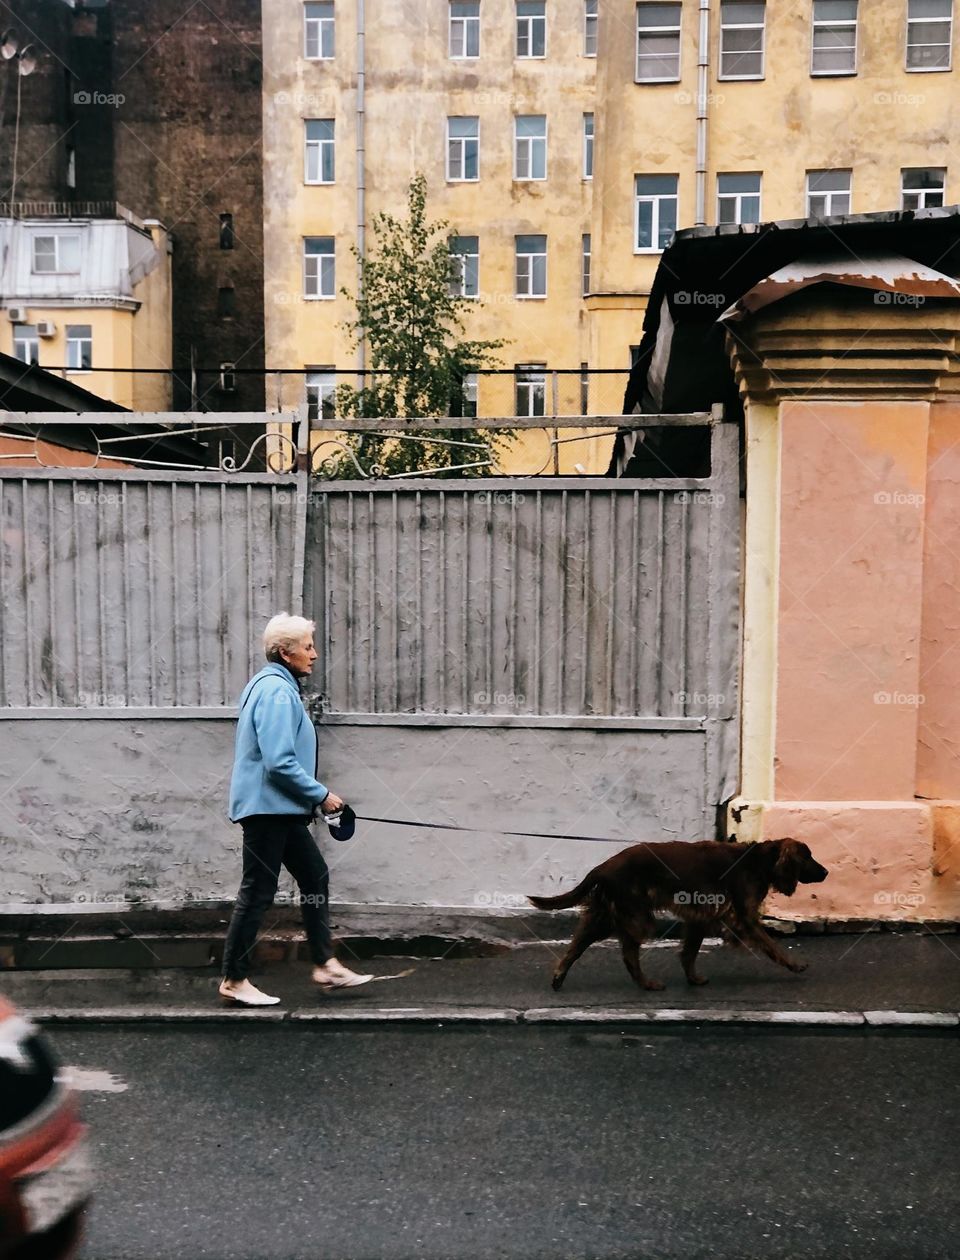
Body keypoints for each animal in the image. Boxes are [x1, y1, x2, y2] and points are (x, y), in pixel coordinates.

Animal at [526, 836, 826, 992]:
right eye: (808, 857)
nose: (826, 872)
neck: (758, 861)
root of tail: (603, 866)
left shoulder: (701, 917)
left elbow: (689, 952)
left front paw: (693, 979)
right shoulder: (743, 917)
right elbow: (771, 944)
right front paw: (794, 964)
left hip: (609, 916)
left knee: (578, 946)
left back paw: (560, 978)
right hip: (636, 916)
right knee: (627, 954)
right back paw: (647, 983)